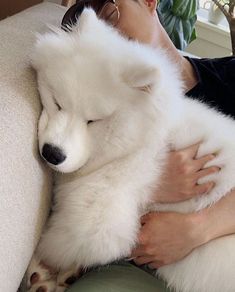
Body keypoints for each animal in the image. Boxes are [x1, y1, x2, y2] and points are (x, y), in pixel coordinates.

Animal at [28, 8, 235, 292]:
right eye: (57, 103)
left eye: (93, 120)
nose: (52, 153)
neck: (137, 144)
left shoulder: (97, 221)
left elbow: (55, 243)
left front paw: (39, 269)